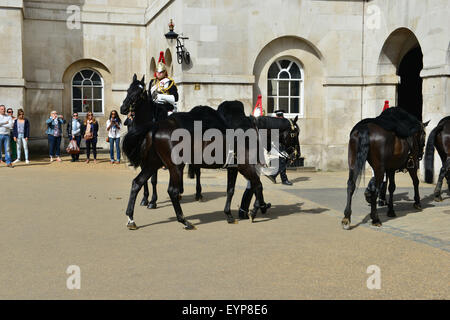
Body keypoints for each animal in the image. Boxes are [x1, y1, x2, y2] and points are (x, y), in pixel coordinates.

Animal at [119, 75, 272, 230]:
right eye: (128, 90)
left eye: (138, 93)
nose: (123, 108)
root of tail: (156, 126)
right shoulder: (244, 166)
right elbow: (257, 184)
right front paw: (257, 208)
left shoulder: (234, 167)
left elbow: (232, 189)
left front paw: (230, 214)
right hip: (173, 166)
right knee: (171, 190)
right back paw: (183, 219)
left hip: (155, 163)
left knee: (137, 183)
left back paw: (131, 218)